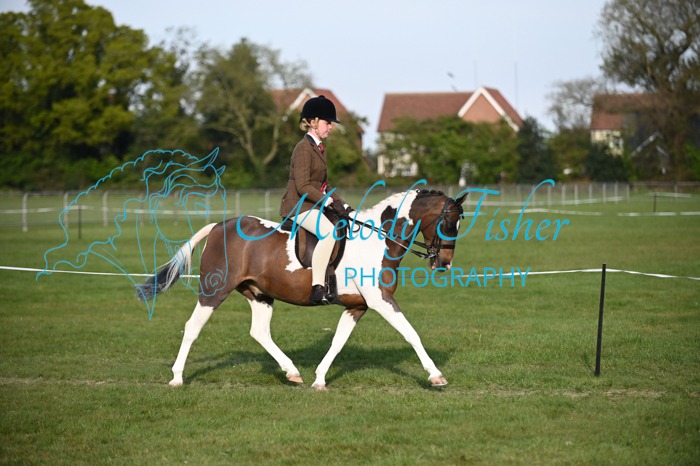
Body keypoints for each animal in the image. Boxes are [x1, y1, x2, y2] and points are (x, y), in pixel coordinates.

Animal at [137, 187, 468, 390]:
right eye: (448, 224)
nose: (444, 264)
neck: (378, 239)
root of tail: (219, 226)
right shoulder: (380, 300)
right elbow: (411, 333)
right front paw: (436, 375)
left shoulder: (357, 306)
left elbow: (337, 342)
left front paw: (319, 379)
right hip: (213, 291)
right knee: (192, 327)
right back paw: (177, 378)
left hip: (259, 294)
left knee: (259, 332)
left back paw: (292, 372)